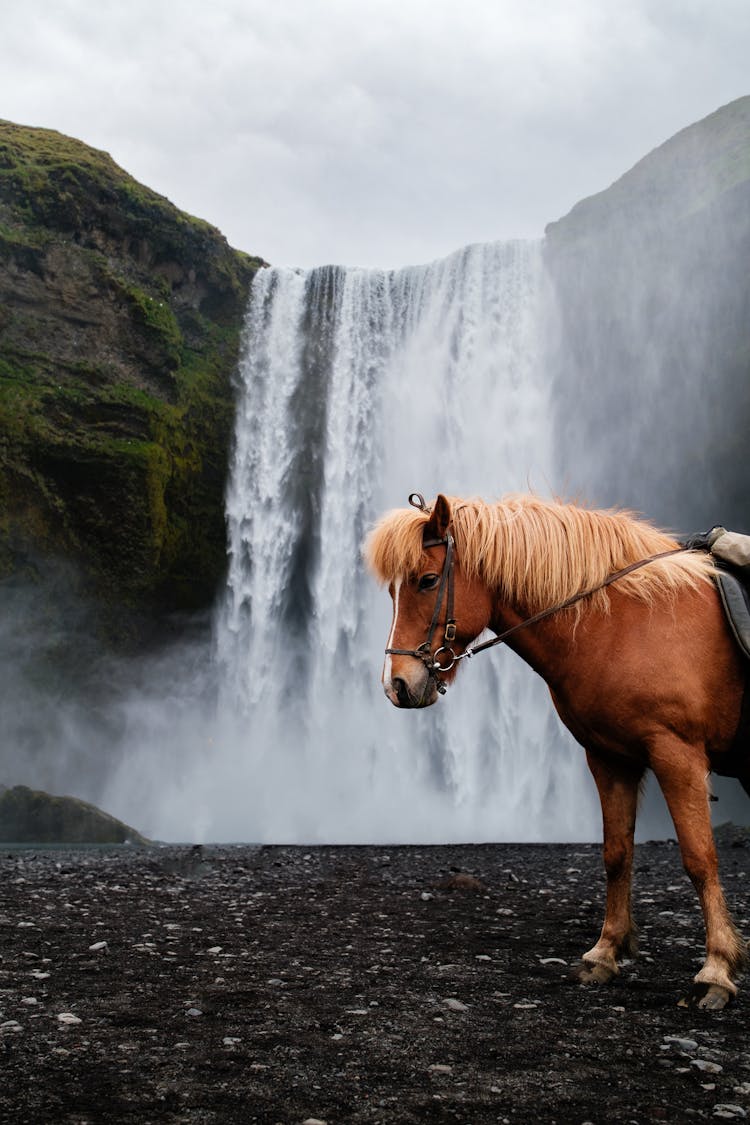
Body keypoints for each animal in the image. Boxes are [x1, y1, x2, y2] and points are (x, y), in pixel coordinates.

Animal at [366, 492, 746, 1012]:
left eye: (427, 580)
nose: (398, 685)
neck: (625, 622)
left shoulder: (678, 756)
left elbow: (699, 858)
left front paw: (716, 969)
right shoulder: (608, 758)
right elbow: (616, 854)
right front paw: (605, 952)